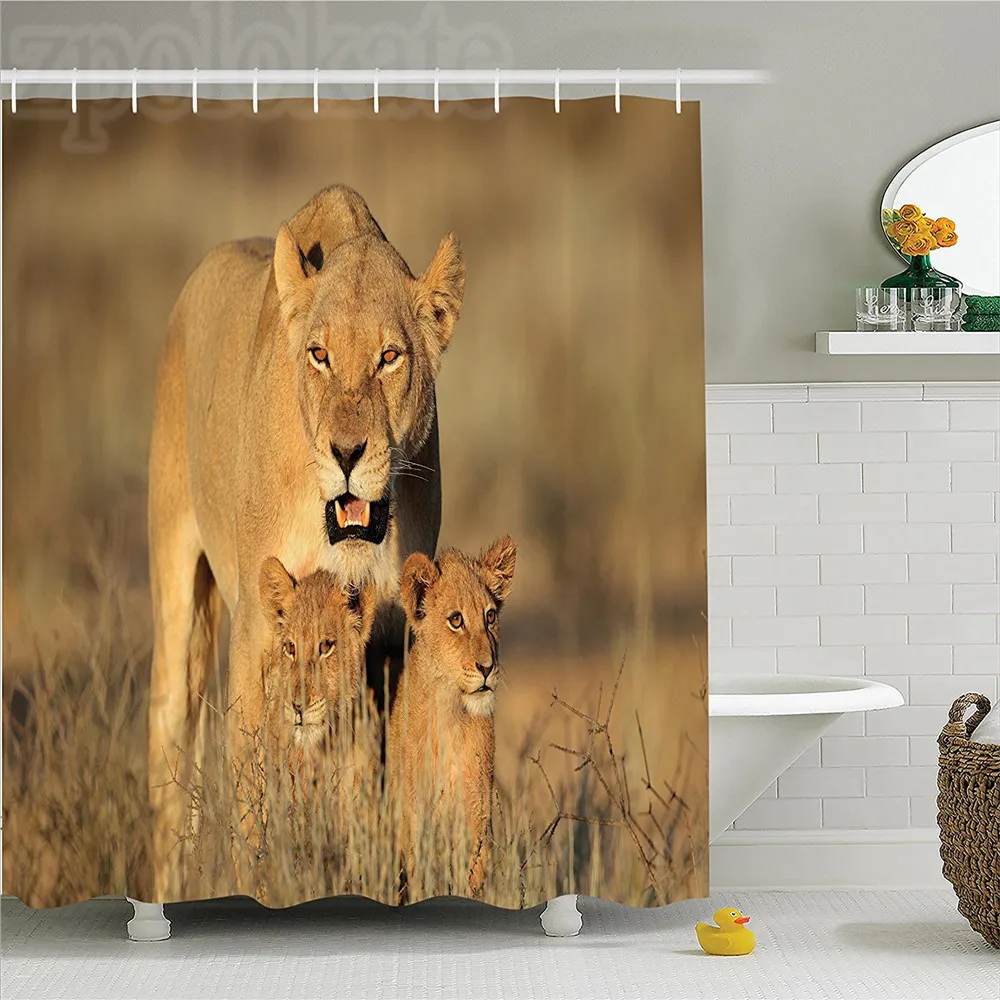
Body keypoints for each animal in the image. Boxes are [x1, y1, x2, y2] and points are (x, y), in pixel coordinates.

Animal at [147, 185, 465, 900]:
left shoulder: (388, 645)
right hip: (176, 587)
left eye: (389, 357)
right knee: (169, 755)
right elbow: (253, 798)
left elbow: (373, 792)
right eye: (319, 355)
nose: (347, 454)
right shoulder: (256, 634)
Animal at [389, 536, 517, 899]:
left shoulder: (476, 814)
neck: (450, 715)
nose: (488, 667)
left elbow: (473, 876)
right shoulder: (414, 817)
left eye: (490, 616)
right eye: (456, 620)